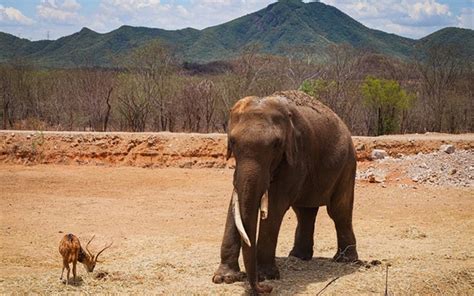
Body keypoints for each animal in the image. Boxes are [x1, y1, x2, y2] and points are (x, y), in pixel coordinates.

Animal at [213, 91, 358, 294]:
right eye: (232, 142)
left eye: (276, 145)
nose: (265, 288)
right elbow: (235, 204)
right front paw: (224, 278)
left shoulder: (296, 154)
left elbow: (275, 206)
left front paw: (267, 276)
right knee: (304, 212)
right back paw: (298, 256)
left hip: (347, 165)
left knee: (339, 212)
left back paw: (345, 260)